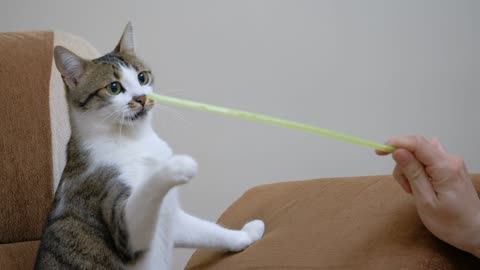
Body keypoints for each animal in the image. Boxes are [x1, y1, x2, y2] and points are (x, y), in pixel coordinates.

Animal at [34, 22, 264, 270]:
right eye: (113, 88)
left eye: (142, 77)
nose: (141, 98)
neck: (134, 139)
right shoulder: (123, 227)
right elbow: (146, 192)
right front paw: (177, 166)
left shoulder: (170, 217)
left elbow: (209, 231)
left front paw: (246, 234)